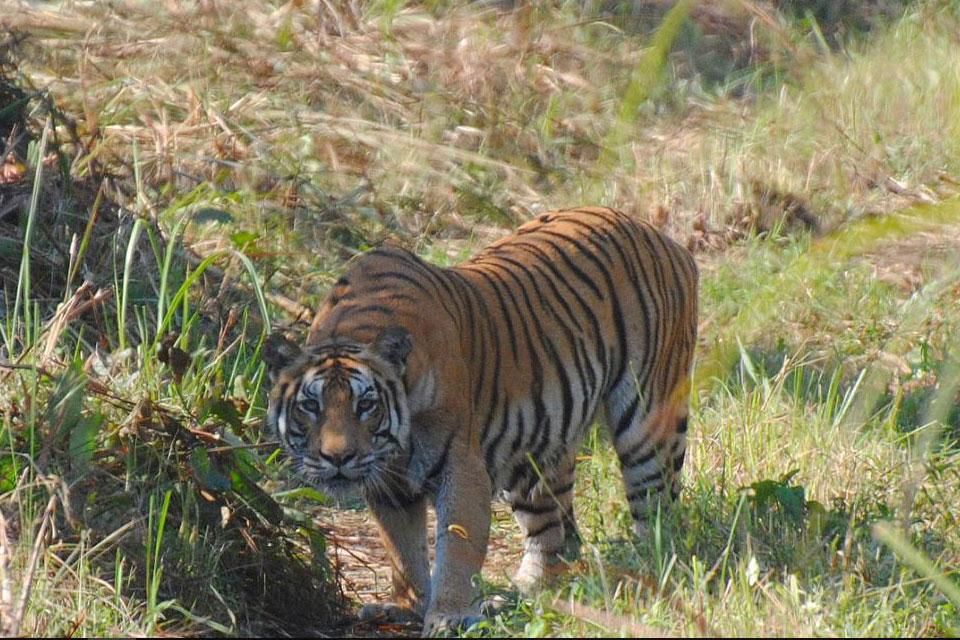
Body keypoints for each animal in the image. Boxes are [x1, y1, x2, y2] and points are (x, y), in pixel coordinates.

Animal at [262, 206, 696, 636]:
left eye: (366, 405)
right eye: (311, 406)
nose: (337, 458)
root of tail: (664, 238)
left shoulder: (459, 465)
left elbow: (457, 542)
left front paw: (448, 615)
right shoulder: (389, 486)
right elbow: (401, 548)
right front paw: (407, 606)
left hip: (647, 423)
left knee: (657, 511)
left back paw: (644, 573)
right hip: (533, 450)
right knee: (552, 533)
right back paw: (524, 592)